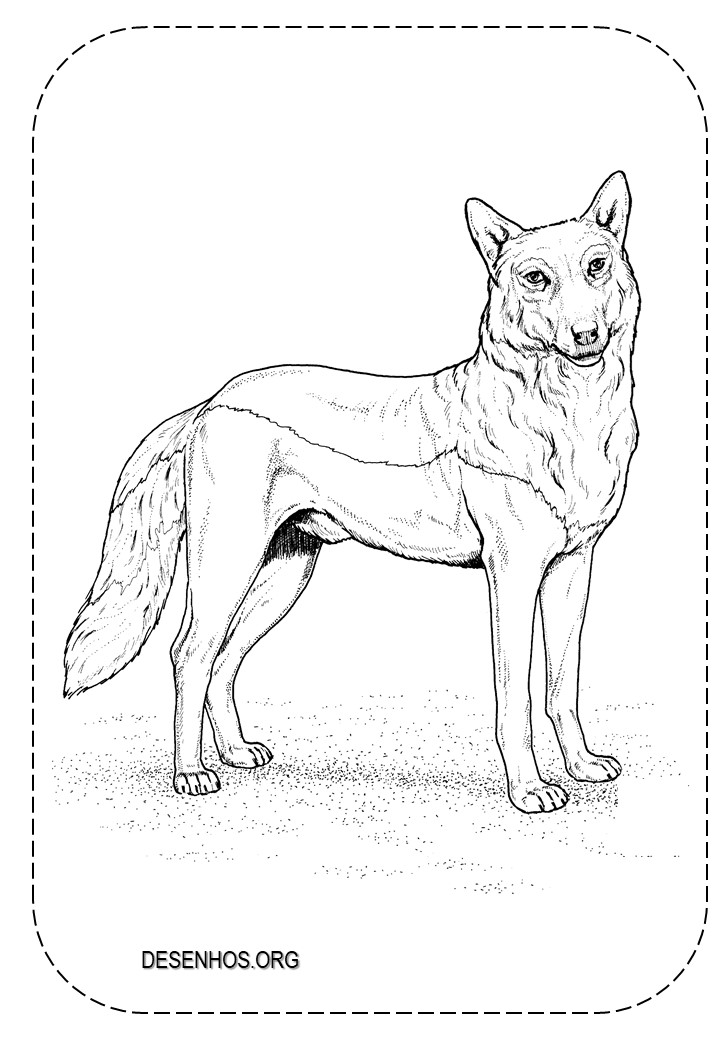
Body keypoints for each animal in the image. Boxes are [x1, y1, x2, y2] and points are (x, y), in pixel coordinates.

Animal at [64, 172, 639, 813]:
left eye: (596, 266)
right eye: (536, 278)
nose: (586, 335)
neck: (566, 413)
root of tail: (211, 402)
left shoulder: (572, 568)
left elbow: (563, 685)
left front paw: (582, 766)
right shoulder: (513, 577)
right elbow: (515, 700)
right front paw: (530, 788)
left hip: (282, 574)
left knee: (224, 659)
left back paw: (236, 753)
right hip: (227, 565)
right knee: (189, 655)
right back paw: (191, 773)